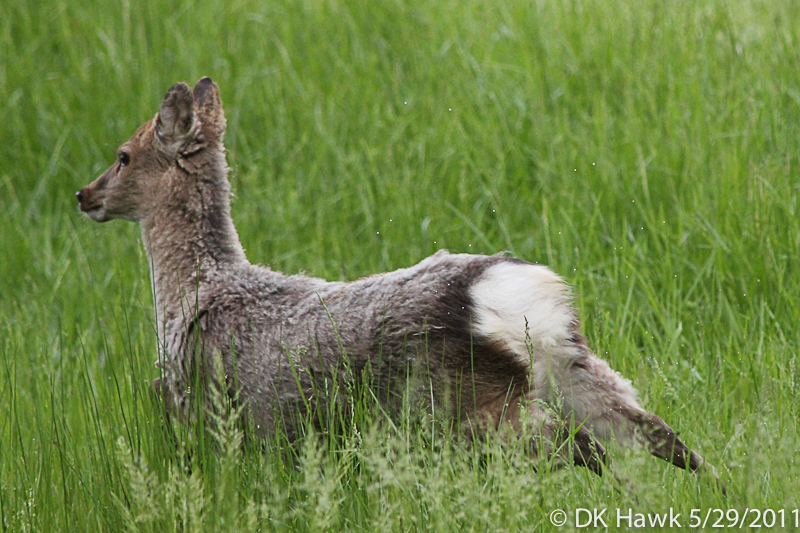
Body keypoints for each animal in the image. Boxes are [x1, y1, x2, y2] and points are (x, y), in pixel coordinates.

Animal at [77, 77, 722, 489]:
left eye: (123, 155)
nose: (84, 194)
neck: (195, 291)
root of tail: (507, 292)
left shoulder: (200, 409)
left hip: (469, 404)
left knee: (581, 445)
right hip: (579, 366)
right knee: (661, 436)